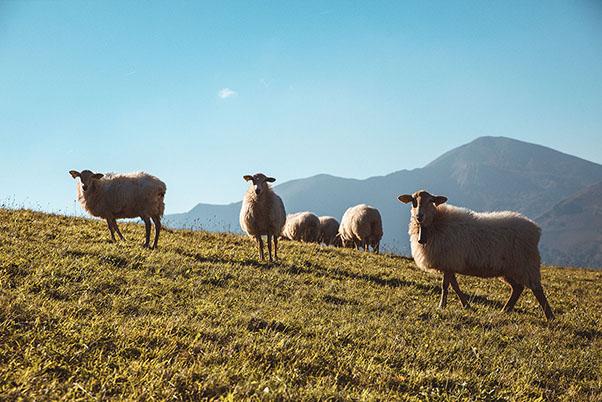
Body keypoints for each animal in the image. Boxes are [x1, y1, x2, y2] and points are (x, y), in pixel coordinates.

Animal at [396, 189, 556, 320]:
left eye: (431, 201)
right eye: (413, 201)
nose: (419, 216)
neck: (436, 223)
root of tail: (535, 229)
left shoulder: (449, 260)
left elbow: (445, 286)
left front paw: (442, 306)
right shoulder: (450, 263)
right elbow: (454, 285)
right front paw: (466, 305)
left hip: (526, 264)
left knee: (537, 290)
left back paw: (550, 316)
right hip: (509, 268)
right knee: (518, 288)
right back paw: (505, 310)